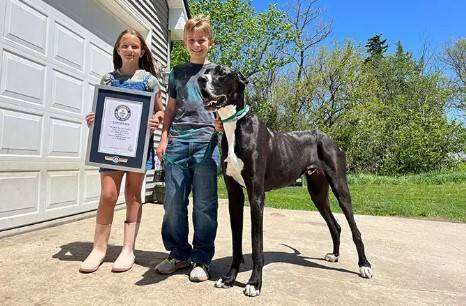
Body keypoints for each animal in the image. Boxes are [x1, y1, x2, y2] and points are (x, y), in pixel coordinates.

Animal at [198, 64, 374, 296]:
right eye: (206, 70)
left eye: (221, 72)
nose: (200, 80)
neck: (235, 126)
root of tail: (328, 137)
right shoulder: (234, 196)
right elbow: (237, 241)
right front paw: (229, 278)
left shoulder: (256, 196)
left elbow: (256, 243)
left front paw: (254, 283)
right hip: (317, 193)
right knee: (335, 225)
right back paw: (335, 255)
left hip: (340, 187)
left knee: (355, 229)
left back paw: (364, 265)